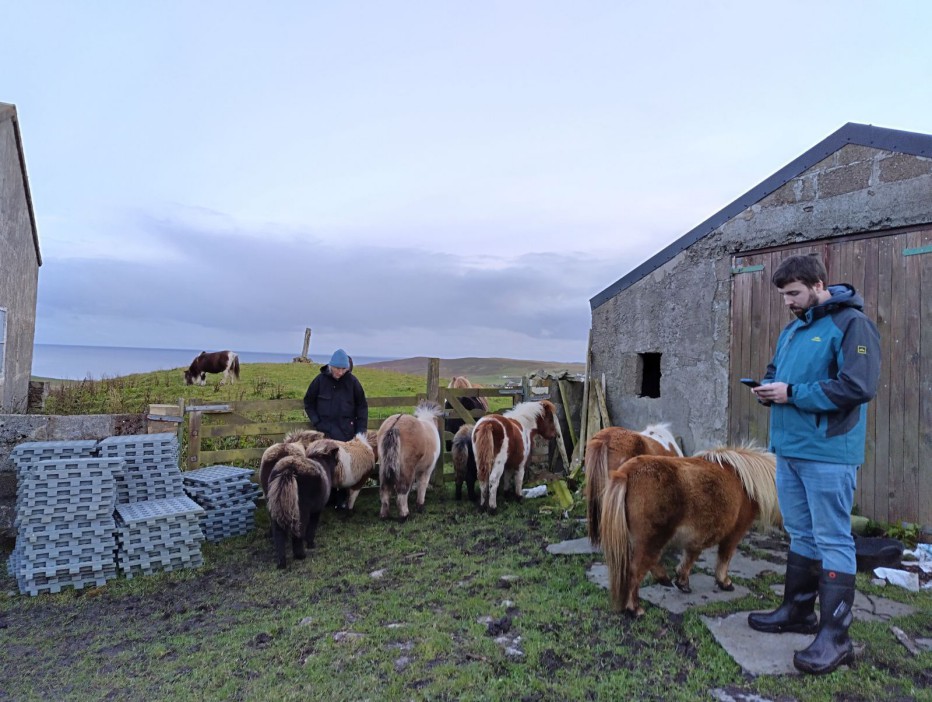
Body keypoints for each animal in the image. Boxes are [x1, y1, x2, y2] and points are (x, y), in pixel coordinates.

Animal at [596, 448, 780, 620]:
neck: (746, 481)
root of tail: (625, 474)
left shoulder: (698, 535)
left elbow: (691, 555)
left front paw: (682, 581)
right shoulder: (734, 532)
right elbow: (724, 557)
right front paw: (724, 582)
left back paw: (663, 579)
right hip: (651, 541)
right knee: (636, 571)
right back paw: (635, 609)